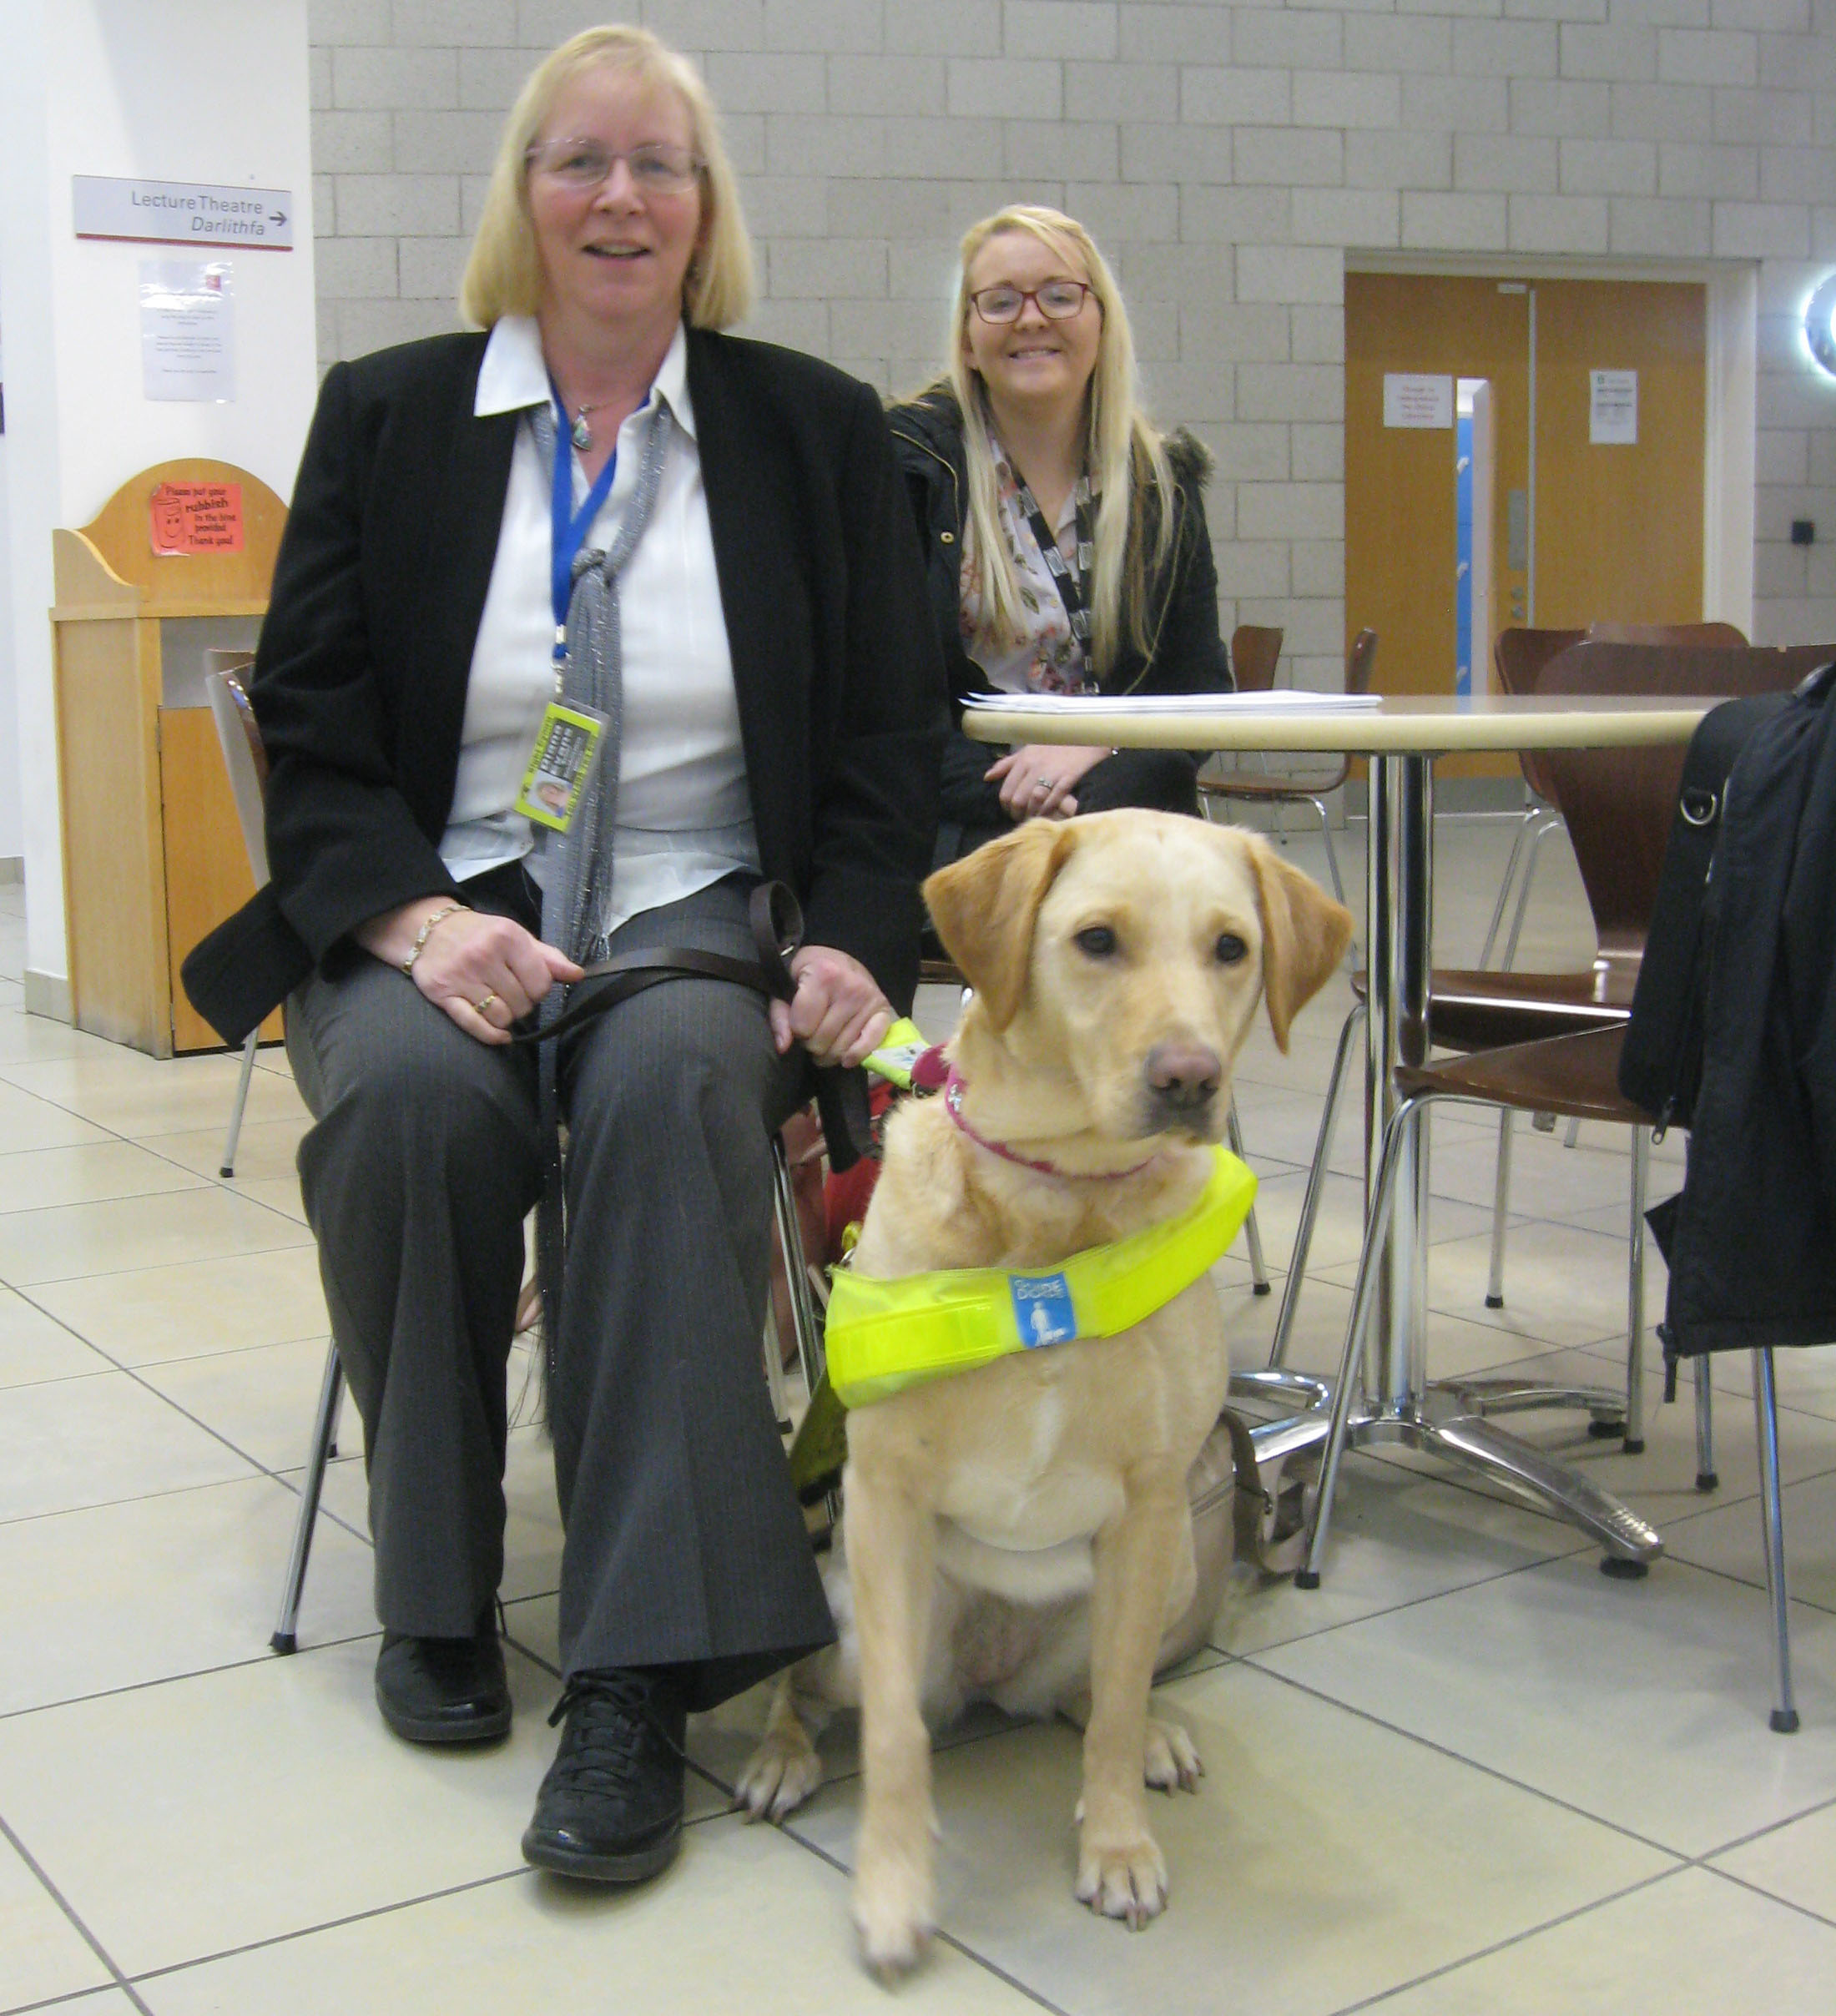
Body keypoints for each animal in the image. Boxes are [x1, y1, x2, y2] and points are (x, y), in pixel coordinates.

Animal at [737, 802, 1354, 1968]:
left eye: (1231, 948)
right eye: (1096, 939)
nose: (1188, 1077)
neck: (1057, 1210)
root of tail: (987, 1674)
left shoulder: (1150, 1505)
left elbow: (1109, 1708)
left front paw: (1117, 1844)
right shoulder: (884, 1501)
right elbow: (893, 1734)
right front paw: (892, 1889)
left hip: (1157, 1576)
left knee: (1092, 1691)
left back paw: (1151, 1737)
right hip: (851, 1609)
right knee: (811, 1686)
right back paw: (779, 1754)